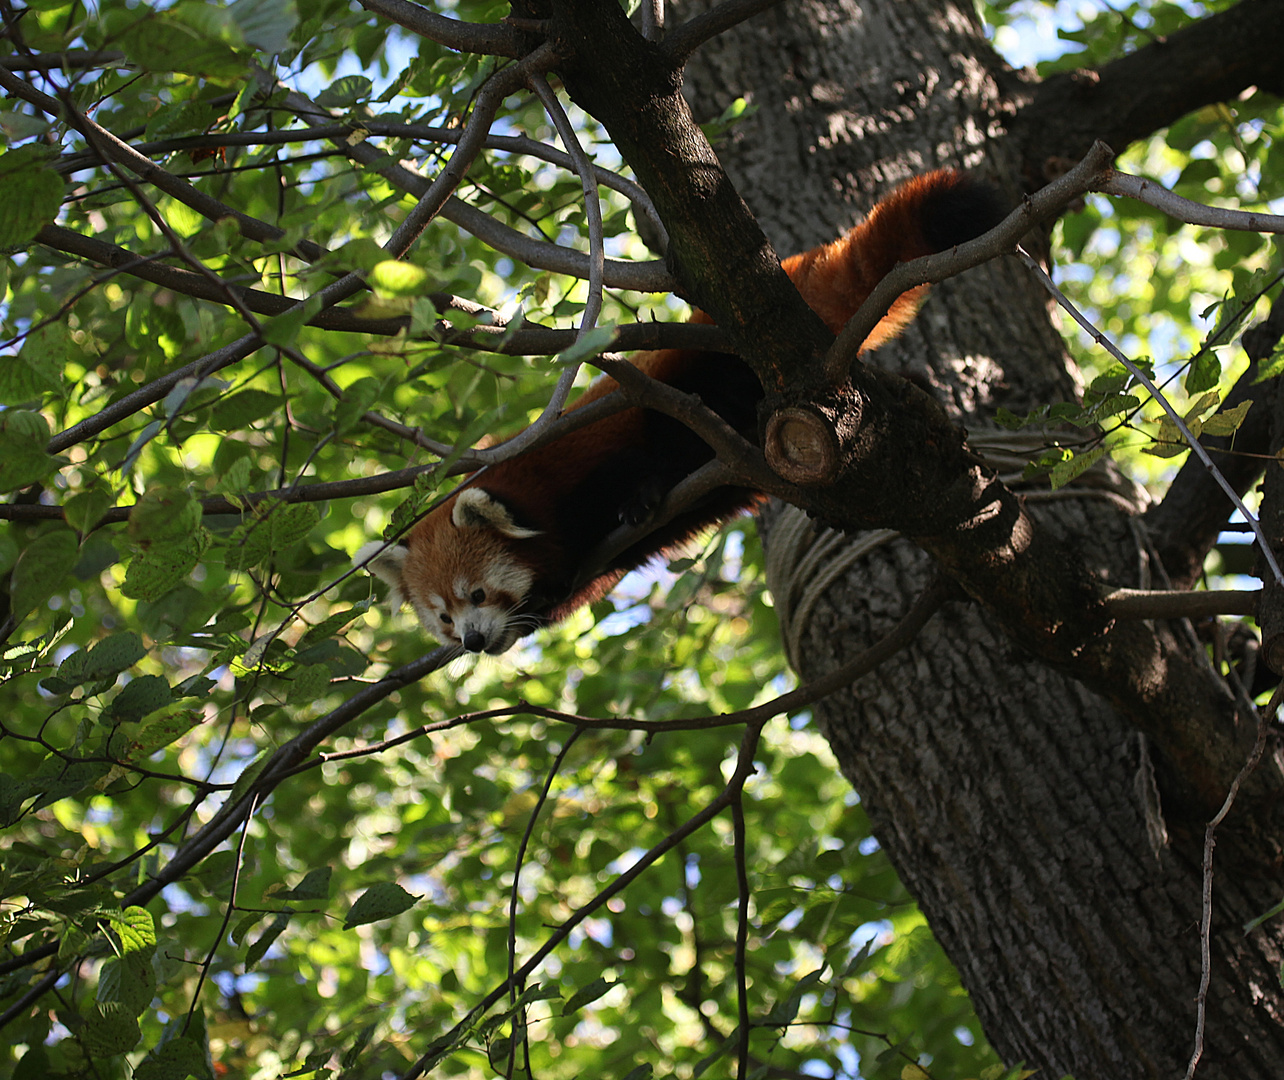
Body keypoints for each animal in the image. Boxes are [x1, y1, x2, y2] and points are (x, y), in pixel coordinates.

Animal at [359, 173, 1001, 652]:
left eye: (476, 596)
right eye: (443, 618)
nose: (471, 641)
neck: (542, 492)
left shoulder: (591, 451)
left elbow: (638, 464)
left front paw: (639, 497)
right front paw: (542, 604)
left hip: (711, 370)